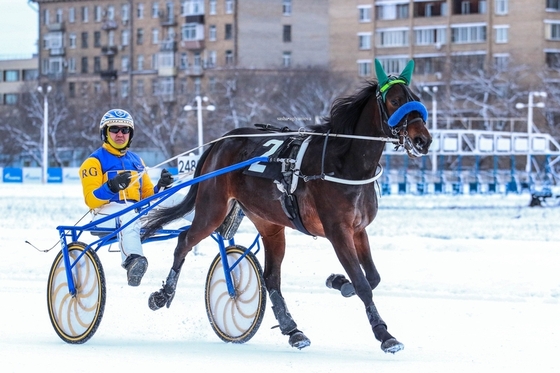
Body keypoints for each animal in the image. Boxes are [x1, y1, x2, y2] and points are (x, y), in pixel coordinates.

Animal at [142, 60, 430, 352]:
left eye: (416, 99)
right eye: (395, 101)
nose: (423, 140)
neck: (342, 164)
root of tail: (221, 142)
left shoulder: (358, 230)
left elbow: (372, 277)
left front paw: (339, 282)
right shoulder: (338, 231)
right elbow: (363, 283)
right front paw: (384, 334)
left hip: (268, 223)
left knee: (271, 277)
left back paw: (293, 329)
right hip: (212, 208)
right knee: (184, 241)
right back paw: (163, 294)